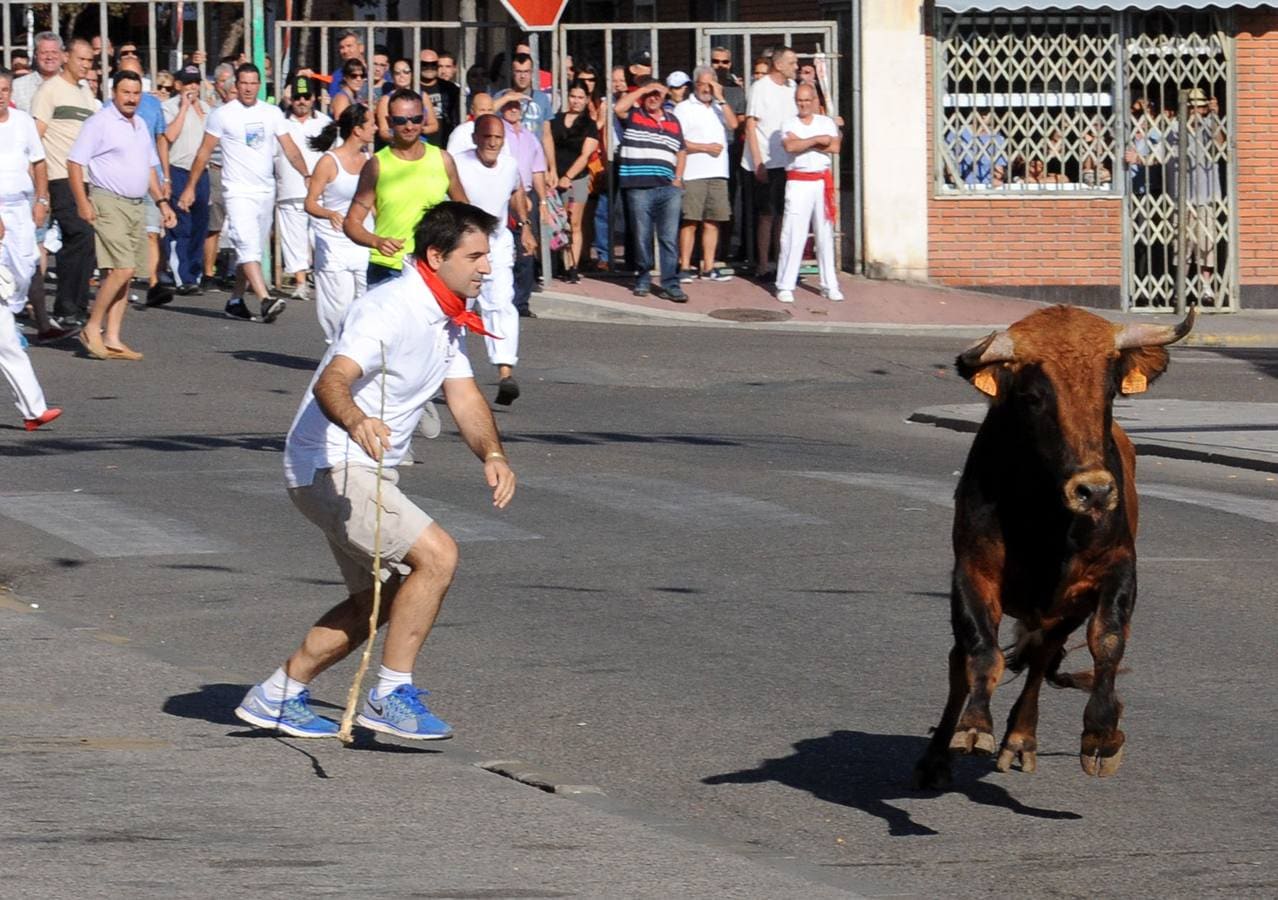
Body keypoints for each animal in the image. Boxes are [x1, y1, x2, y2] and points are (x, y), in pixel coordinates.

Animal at [915, 304, 1191, 787]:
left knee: (1042, 657)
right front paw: (973, 728)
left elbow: (1108, 640)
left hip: (1063, 611)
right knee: (961, 659)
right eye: (1032, 398)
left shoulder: (1117, 567)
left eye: (1110, 393)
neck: (1044, 521)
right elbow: (982, 654)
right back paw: (936, 758)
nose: (1094, 491)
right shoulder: (972, 572)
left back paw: (1021, 739)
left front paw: (1101, 735)